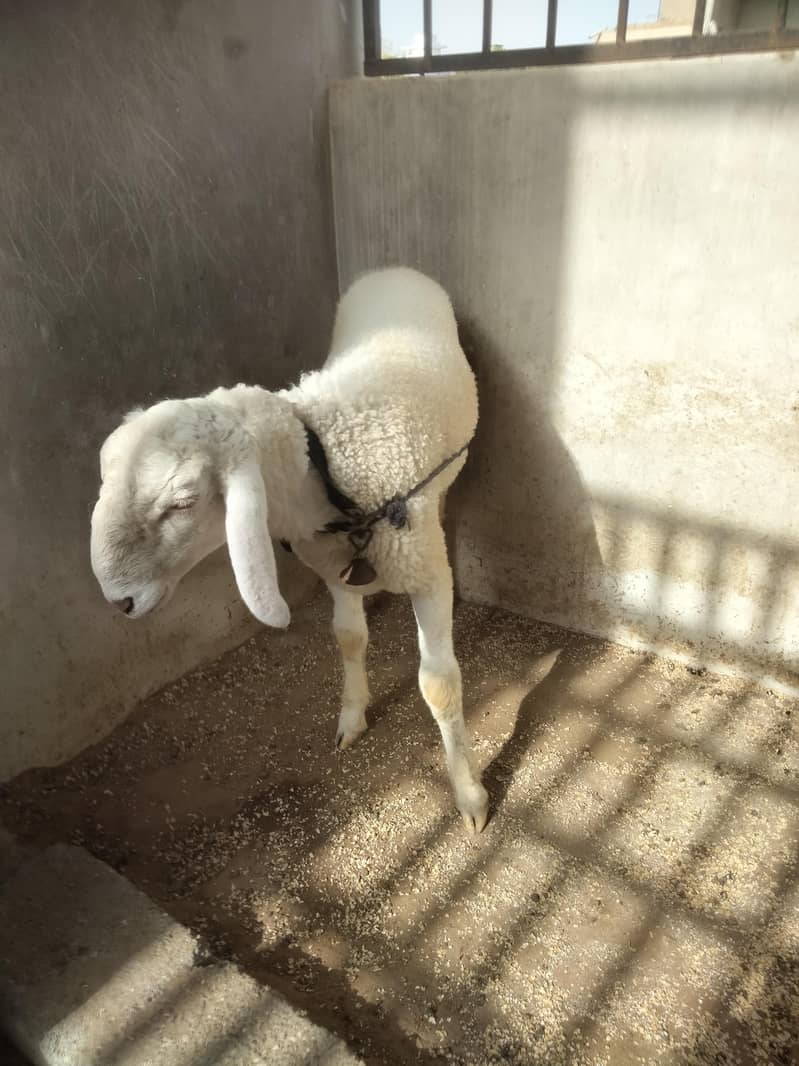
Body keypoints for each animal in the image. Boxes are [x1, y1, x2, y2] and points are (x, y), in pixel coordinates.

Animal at [90, 267, 489, 833]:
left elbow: (439, 684)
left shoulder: (424, 570)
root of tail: (391, 269)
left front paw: (469, 794)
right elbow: (348, 637)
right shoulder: (333, 564)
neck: (328, 459)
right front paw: (352, 715)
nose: (118, 600)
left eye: (183, 502)